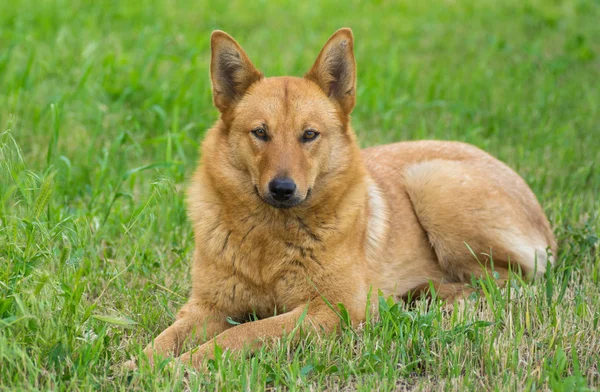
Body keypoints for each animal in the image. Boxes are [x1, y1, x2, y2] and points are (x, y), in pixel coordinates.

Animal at [124, 28, 556, 370]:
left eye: (309, 135)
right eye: (260, 133)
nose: (283, 189)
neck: (270, 237)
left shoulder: (330, 308)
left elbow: (243, 333)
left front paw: (184, 365)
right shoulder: (206, 307)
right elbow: (164, 338)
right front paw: (139, 365)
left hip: (431, 183)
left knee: (503, 284)